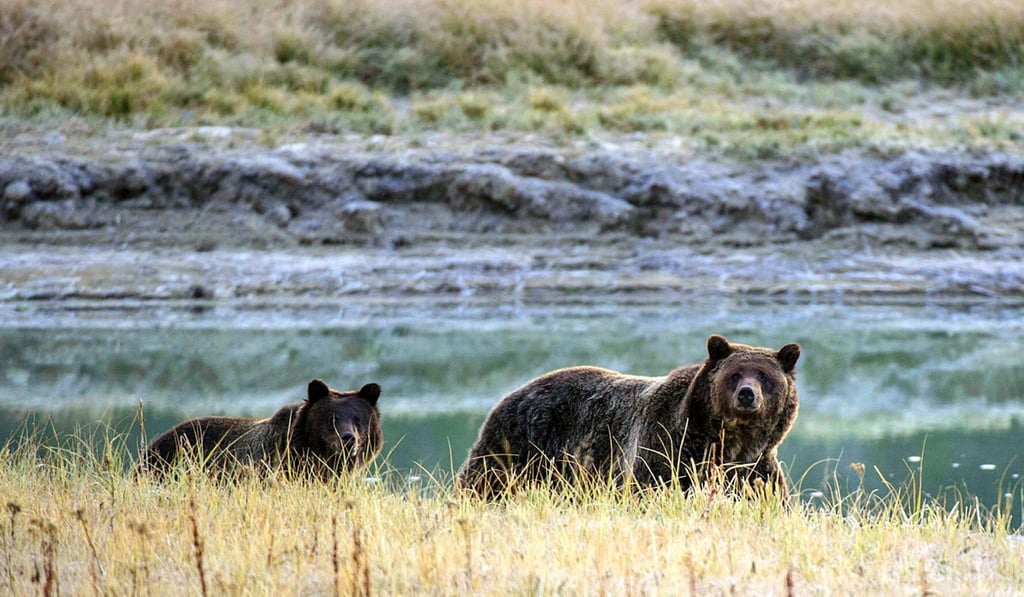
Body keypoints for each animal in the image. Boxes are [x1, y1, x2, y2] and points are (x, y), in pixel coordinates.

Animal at [456, 335, 800, 500]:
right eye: (735, 374)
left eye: (764, 376)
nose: (747, 394)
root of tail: (513, 392)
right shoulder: (666, 449)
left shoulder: (755, 468)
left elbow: (766, 499)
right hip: (518, 444)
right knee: (484, 481)